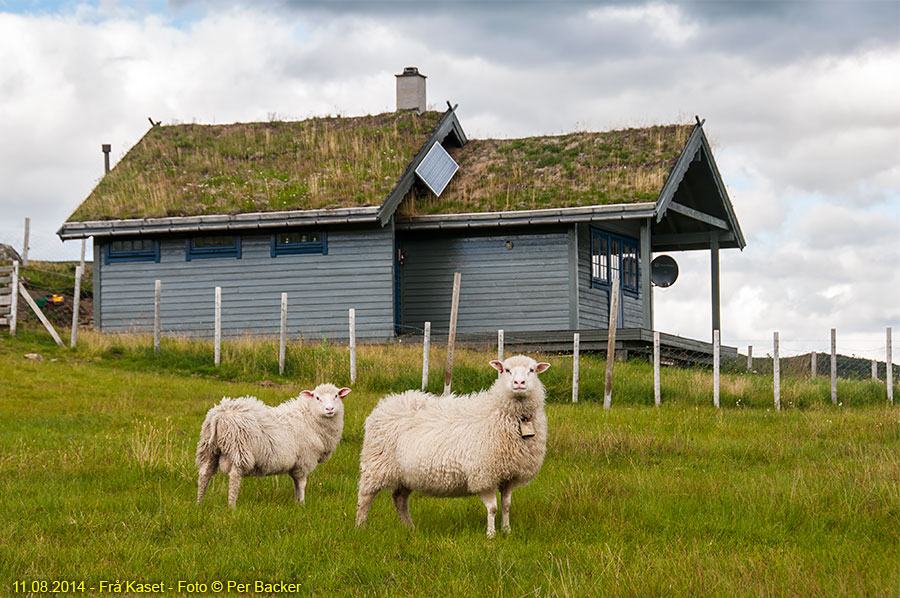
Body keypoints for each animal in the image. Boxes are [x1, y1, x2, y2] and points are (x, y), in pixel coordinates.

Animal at [195, 384, 350, 506]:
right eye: (317, 398)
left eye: (336, 396)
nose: (329, 409)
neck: (310, 417)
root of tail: (219, 415)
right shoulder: (304, 460)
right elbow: (301, 483)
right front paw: (302, 503)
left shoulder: (296, 463)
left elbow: (296, 483)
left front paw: (296, 503)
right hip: (239, 449)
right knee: (234, 477)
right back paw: (231, 506)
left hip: (209, 448)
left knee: (204, 474)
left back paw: (199, 503)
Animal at [356, 356, 552, 540]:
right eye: (506, 370)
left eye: (532, 370)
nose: (519, 383)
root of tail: (385, 404)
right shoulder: (485, 475)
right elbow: (493, 508)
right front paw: (491, 534)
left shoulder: (510, 475)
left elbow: (506, 506)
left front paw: (507, 531)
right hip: (376, 464)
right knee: (365, 497)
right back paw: (360, 527)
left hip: (406, 474)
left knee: (399, 499)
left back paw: (409, 527)